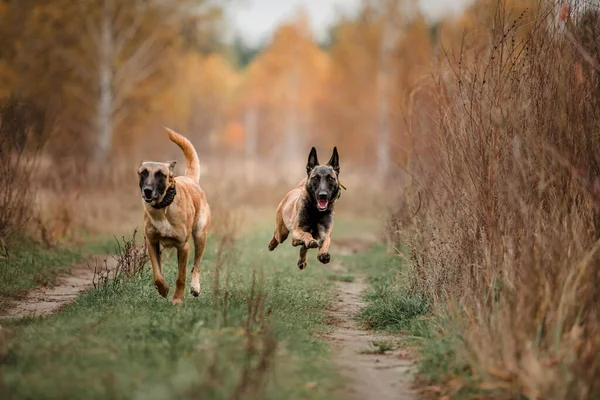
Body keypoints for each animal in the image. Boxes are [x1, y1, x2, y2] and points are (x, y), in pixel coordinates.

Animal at [138, 127, 211, 304]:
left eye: (160, 174)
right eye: (143, 173)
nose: (147, 190)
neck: (163, 208)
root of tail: (190, 179)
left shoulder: (183, 246)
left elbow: (181, 276)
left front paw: (177, 299)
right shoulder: (152, 243)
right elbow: (157, 273)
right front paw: (163, 289)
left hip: (200, 235)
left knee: (196, 265)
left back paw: (195, 287)